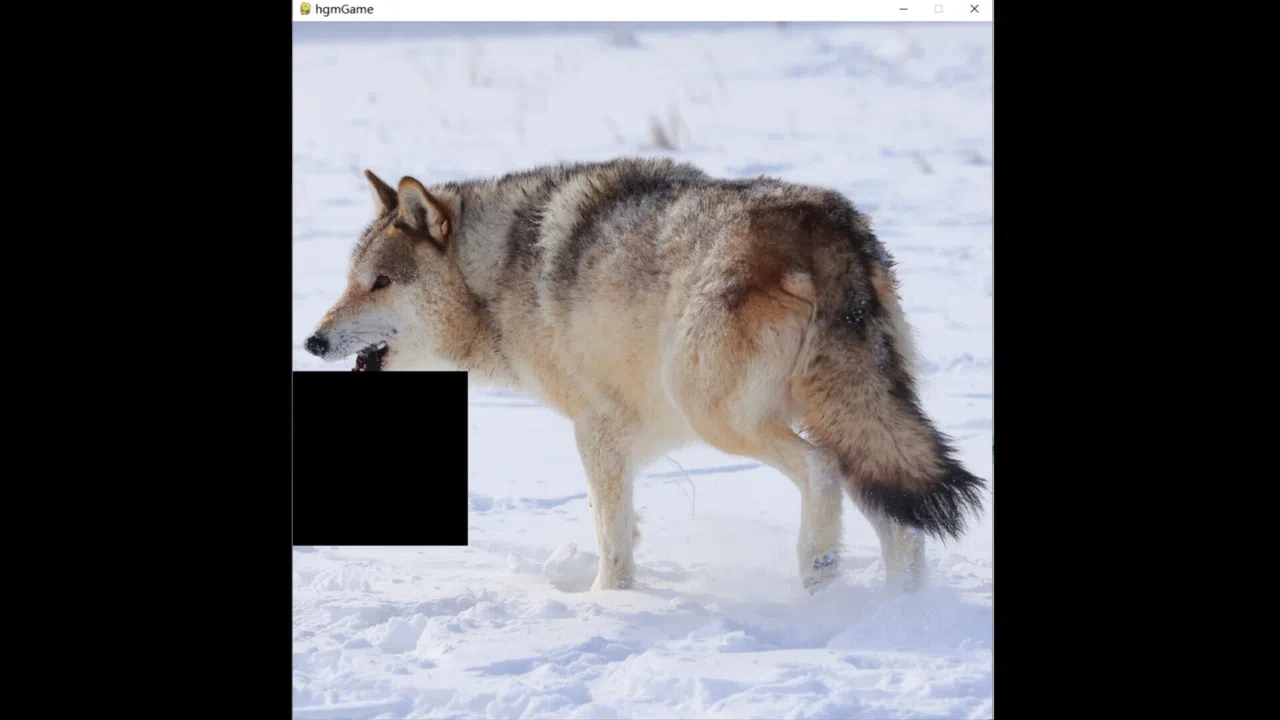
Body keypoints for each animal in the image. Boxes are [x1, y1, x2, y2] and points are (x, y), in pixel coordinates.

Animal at [304, 157, 986, 593]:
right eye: (350, 281)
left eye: (379, 283)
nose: (313, 341)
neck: (495, 276)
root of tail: (826, 223)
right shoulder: (629, 438)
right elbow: (623, 523)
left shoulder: (594, 428)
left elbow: (611, 536)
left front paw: (603, 606)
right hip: (851, 423)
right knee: (899, 521)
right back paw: (897, 612)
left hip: (717, 414)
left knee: (822, 473)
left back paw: (817, 575)